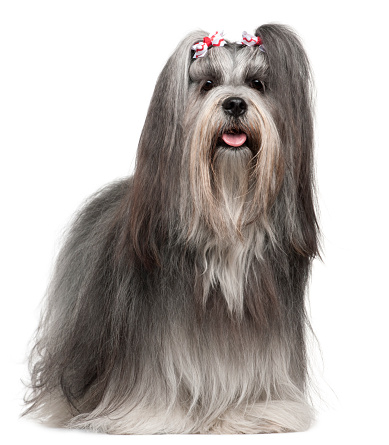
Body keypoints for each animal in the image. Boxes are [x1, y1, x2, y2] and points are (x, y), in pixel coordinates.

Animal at [25, 25, 322, 434]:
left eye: (257, 84)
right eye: (207, 84)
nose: (234, 104)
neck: (226, 215)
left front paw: (251, 410)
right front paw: (161, 414)